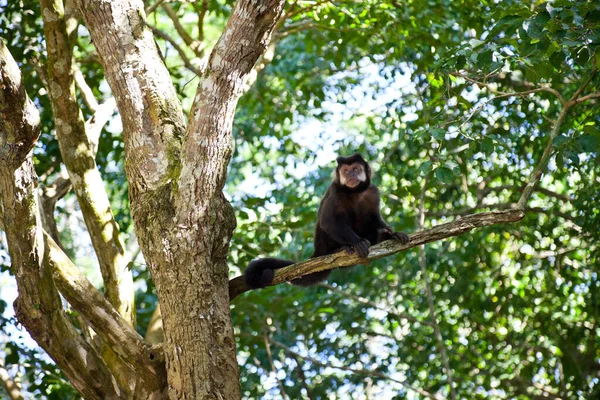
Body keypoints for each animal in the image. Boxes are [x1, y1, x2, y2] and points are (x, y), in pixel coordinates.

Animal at [243, 152, 408, 288]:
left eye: (356, 169)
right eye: (345, 171)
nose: (351, 175)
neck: (355, 192)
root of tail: (318, 251)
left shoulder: (373, 191)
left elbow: (375, 217)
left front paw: (393, 234)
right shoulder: (336, 191)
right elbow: (327, 221)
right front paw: (357, 242)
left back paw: (382, 237)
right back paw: (340, 249)